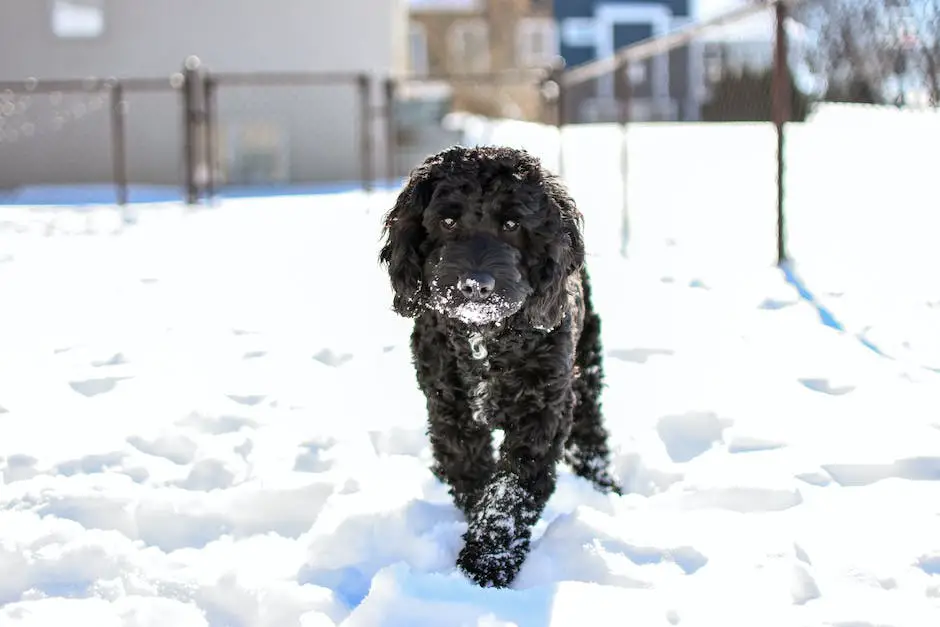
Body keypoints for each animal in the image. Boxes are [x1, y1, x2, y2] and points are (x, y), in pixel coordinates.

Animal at [378, 145, 620, 588]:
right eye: (448, 220)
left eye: (512, 224)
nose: (476, 285)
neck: (484, 340)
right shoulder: (450, 411)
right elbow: (471, 474)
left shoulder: (541, 414)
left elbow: (510, 491)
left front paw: (486, 566)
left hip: (586, 366)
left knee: (591, 432)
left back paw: (605, 488)